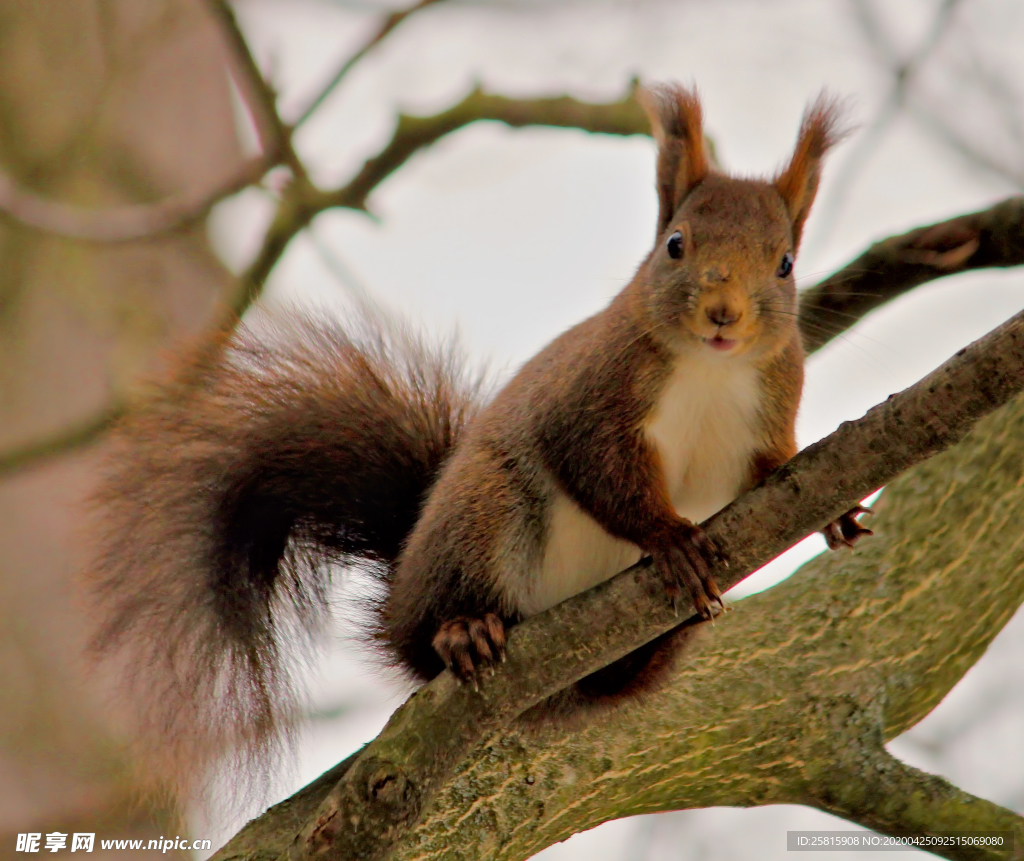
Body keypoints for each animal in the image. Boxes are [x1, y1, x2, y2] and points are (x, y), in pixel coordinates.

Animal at [90, 83, 872, 782]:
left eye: (785, 264)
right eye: (676, 244)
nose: (723, 314)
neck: (710, 369)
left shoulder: (768, 409)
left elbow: (775, 467)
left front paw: (836, 512)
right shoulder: (591, 397)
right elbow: (599, 469)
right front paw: (669, 537)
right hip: (484, 511)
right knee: (430, 632)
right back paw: (462, 629)